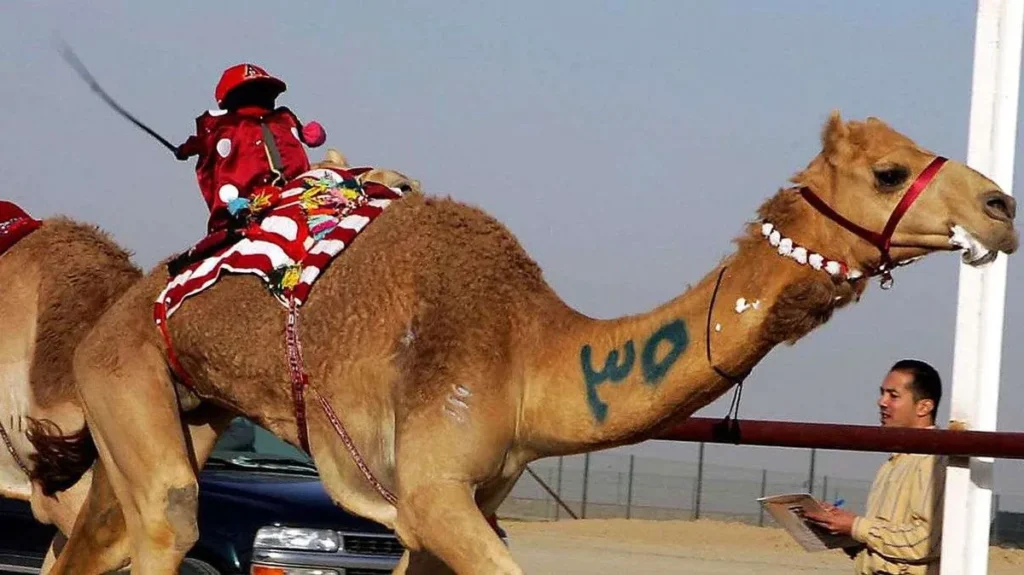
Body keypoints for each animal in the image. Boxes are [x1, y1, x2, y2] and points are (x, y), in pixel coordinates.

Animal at [46, 112, 1017, 575]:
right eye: (889, 170)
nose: (999, 205)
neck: (525, 348)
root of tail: (115, 310)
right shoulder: (432, 486)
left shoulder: (463, 495)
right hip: (126, 372)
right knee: (166, 521)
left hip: (179, 405)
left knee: (92, 538)